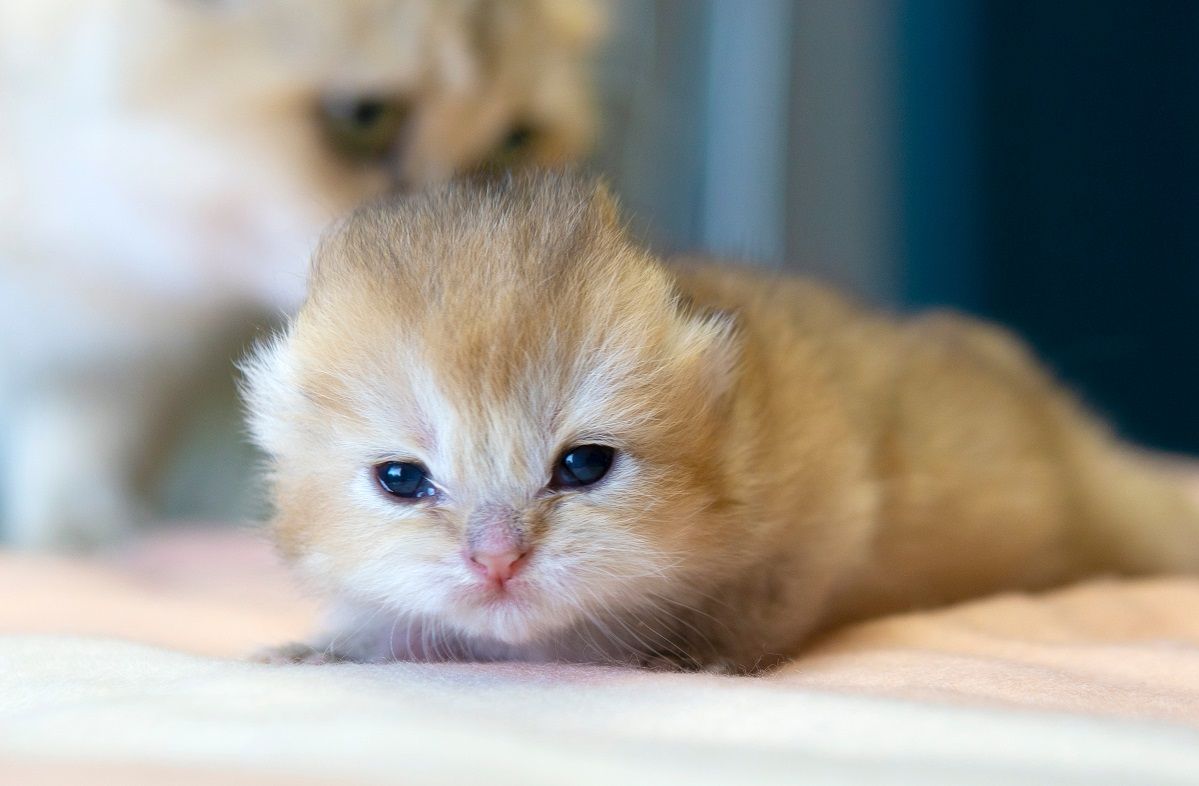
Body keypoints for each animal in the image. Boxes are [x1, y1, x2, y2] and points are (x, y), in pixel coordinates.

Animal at [243, 170, 1199, 670]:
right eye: (401, 480)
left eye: (582, 466)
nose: (497, 561)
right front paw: (331, 648)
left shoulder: (826, 502)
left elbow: (756, 612)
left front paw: (688, 659)